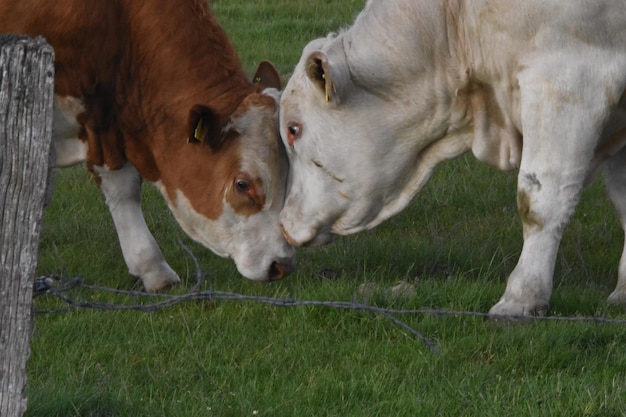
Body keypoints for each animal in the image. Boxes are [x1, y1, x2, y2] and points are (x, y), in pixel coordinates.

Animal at [280, 0, 624, 314]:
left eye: (293, 129)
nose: (284, 224)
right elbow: (622, 202)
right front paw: (622, 293)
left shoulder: (567, 77)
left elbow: (540, 203)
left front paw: (521, 298)